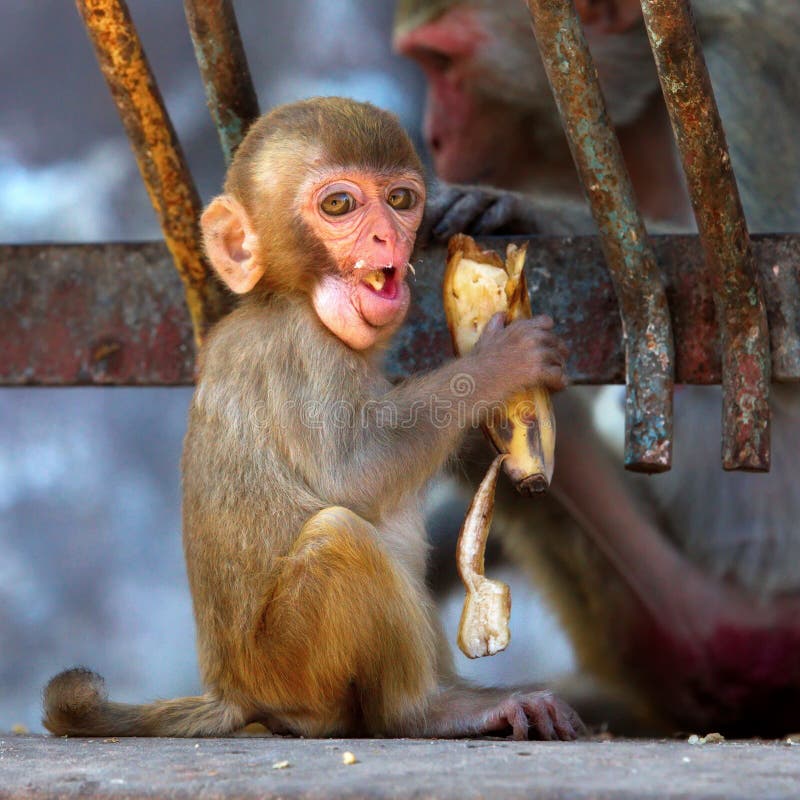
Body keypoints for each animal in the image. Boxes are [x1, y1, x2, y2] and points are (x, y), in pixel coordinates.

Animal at [42, 97, 584, 741]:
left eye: (401, 199)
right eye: (340, 205)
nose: (387, 235)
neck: (288, 297)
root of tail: (235, 692)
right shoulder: (303, 354)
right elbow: (353, 476)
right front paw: (501, 362)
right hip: (291, 667)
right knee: (339, 536)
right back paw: (431, 711)